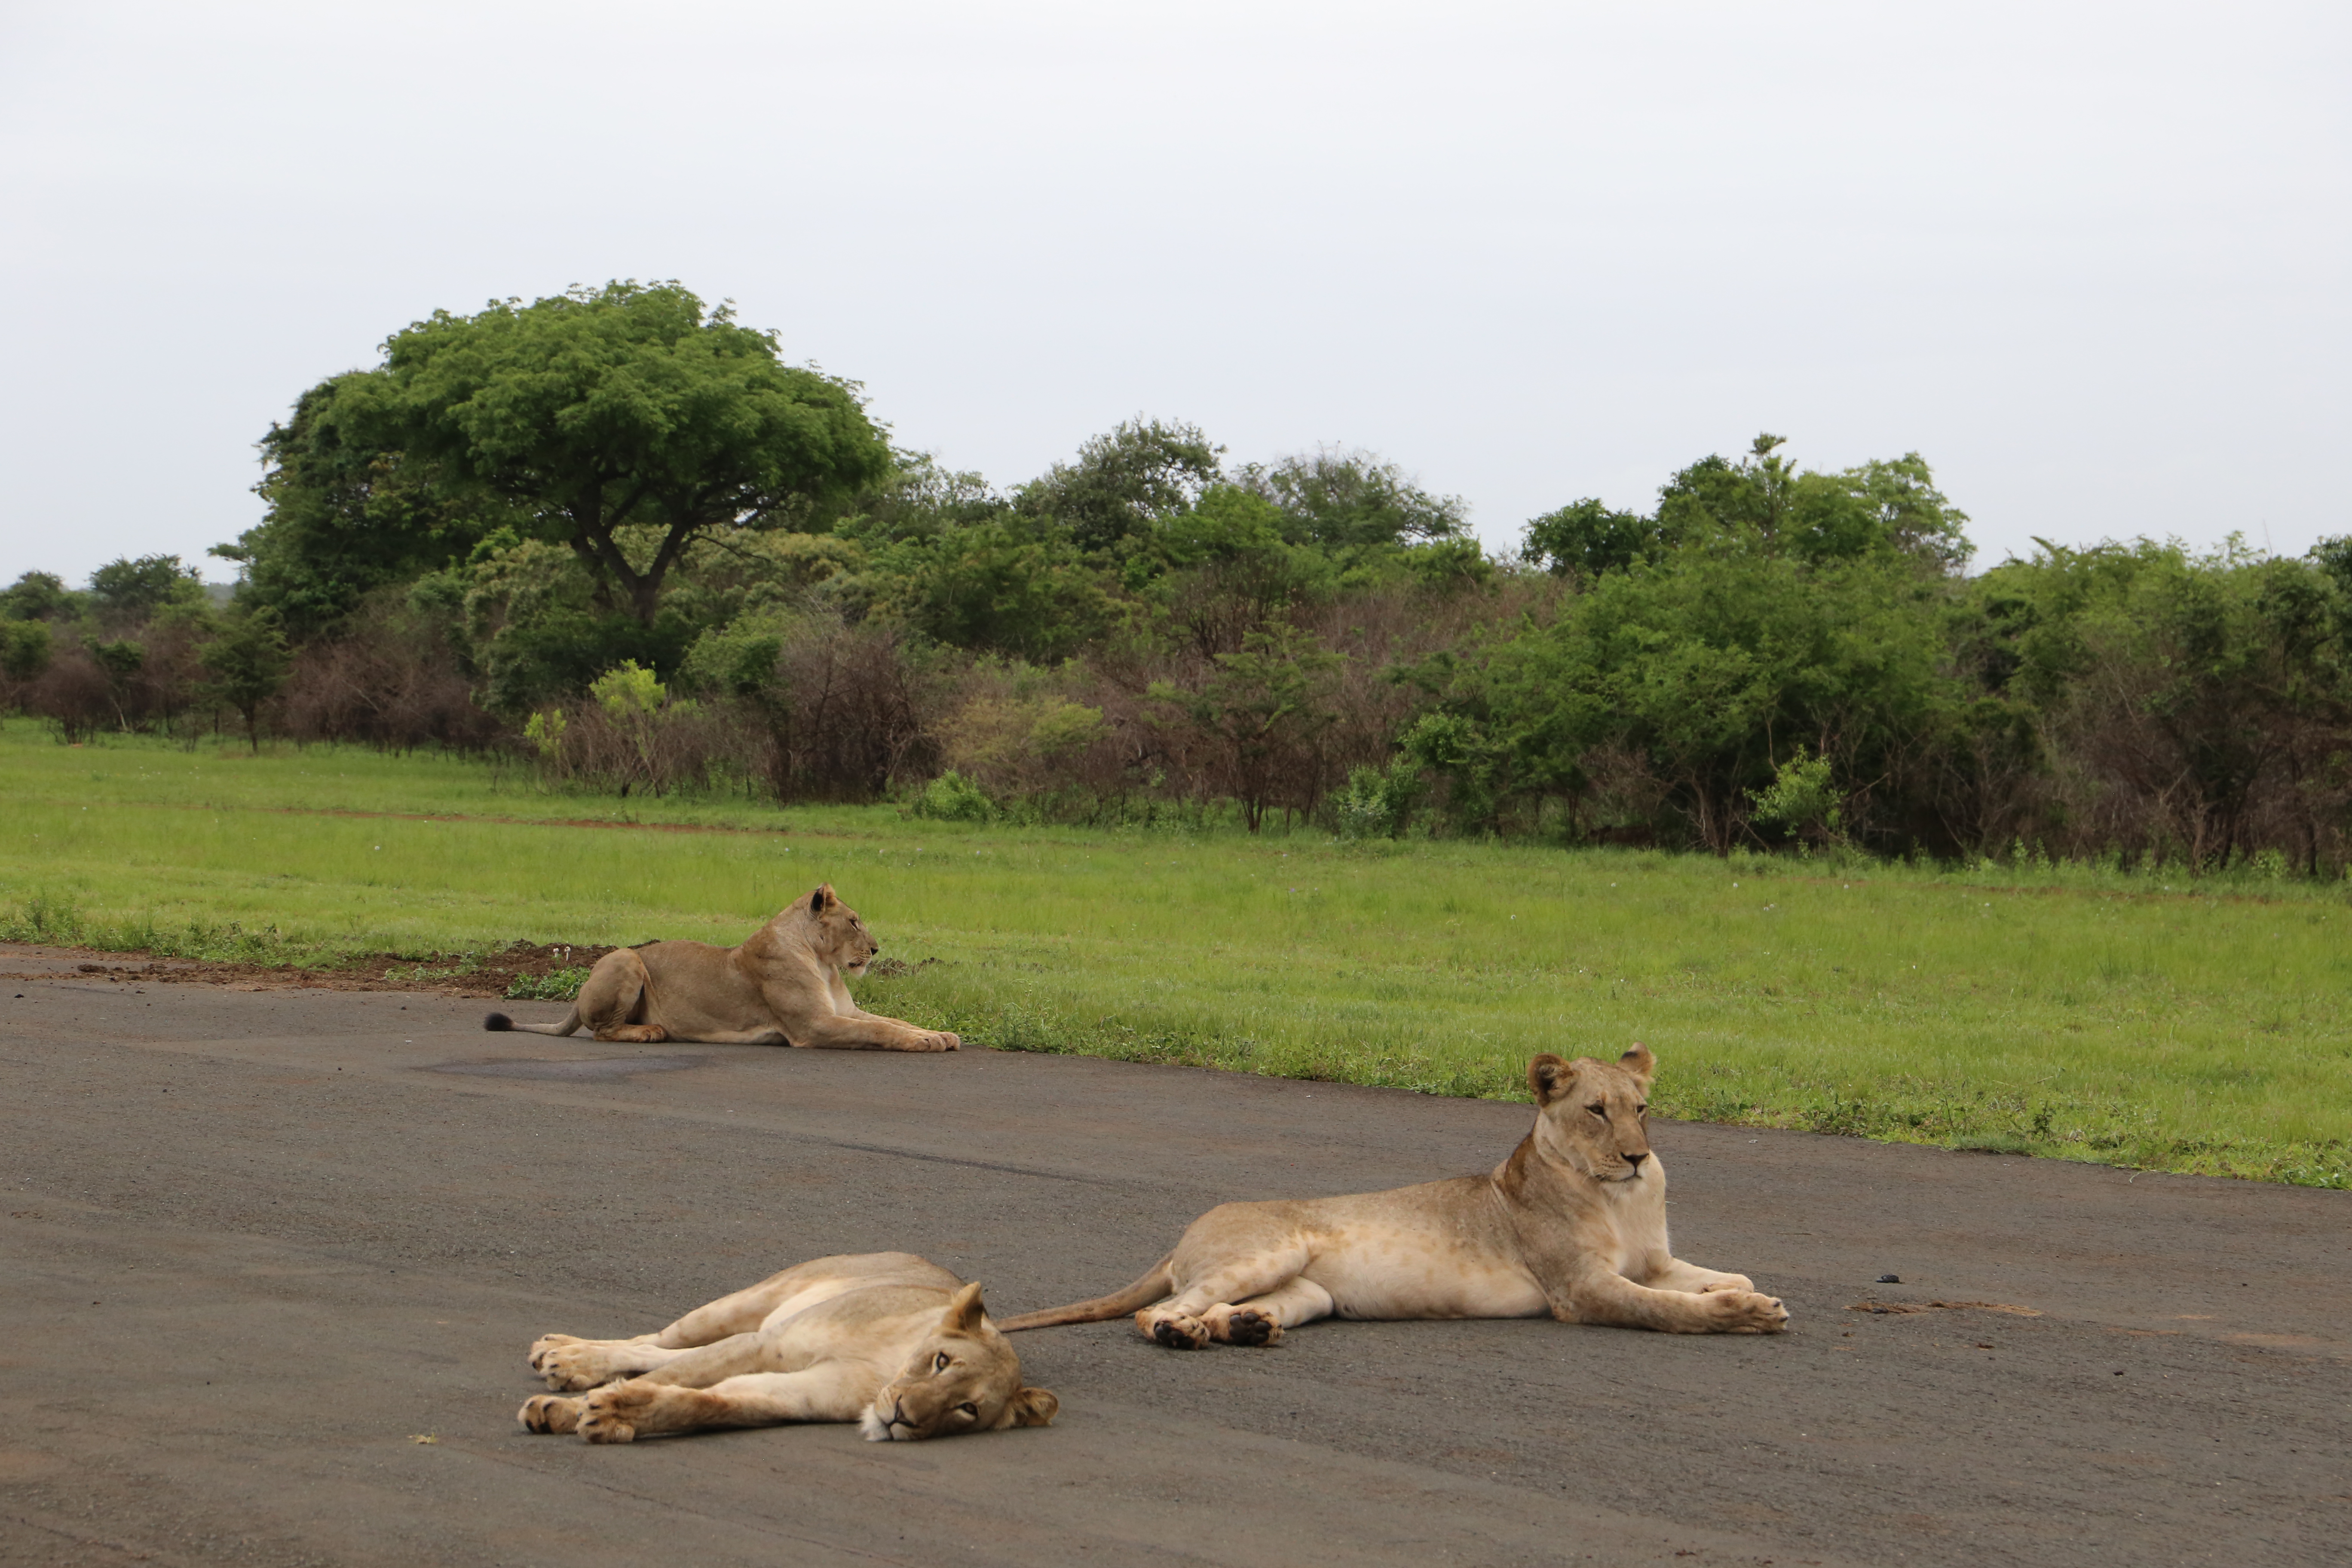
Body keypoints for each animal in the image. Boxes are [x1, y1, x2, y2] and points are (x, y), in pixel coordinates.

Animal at [483, 884, 958, 1050]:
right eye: (855, 922)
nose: (876, 950)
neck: (824, 963)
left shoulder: (845, 1011)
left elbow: (894, 1021)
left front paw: (941, 1035)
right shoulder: (813, 1026)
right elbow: (879, 1031)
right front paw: (927, 1042)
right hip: (627, 957)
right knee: (601, 1030)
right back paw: (651, 1032)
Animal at [517, 1252, 1059, 1443]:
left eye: (967, 1409)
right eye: (942, 1361)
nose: (903, 1417)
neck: (888, 1369)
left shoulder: (797, 1392)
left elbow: (705, 1402)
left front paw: (614, 1413)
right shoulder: (767, 1347)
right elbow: (670, 1375)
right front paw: (565, 1408)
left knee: (662, 1353)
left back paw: (563, 1360)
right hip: (742, 1307)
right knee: (655, 1342)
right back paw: (564, 1353)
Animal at [999, 1046, 1788, 1345]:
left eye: (1641, 1109)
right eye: (1596, 1110)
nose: (1637, 1156)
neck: (1618, 1197)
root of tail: (1182, 1235)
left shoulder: (1653, 1261)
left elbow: (1712, 1275)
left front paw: (1747, 1289)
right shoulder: (1580, 1289)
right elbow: (1667, 1308)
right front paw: (1746, 1314)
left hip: (1307, 1293)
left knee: (1223, 1309)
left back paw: (1242, 1328)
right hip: (1266, 1251)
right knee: (1158, 1311)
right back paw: (1180, 1333)